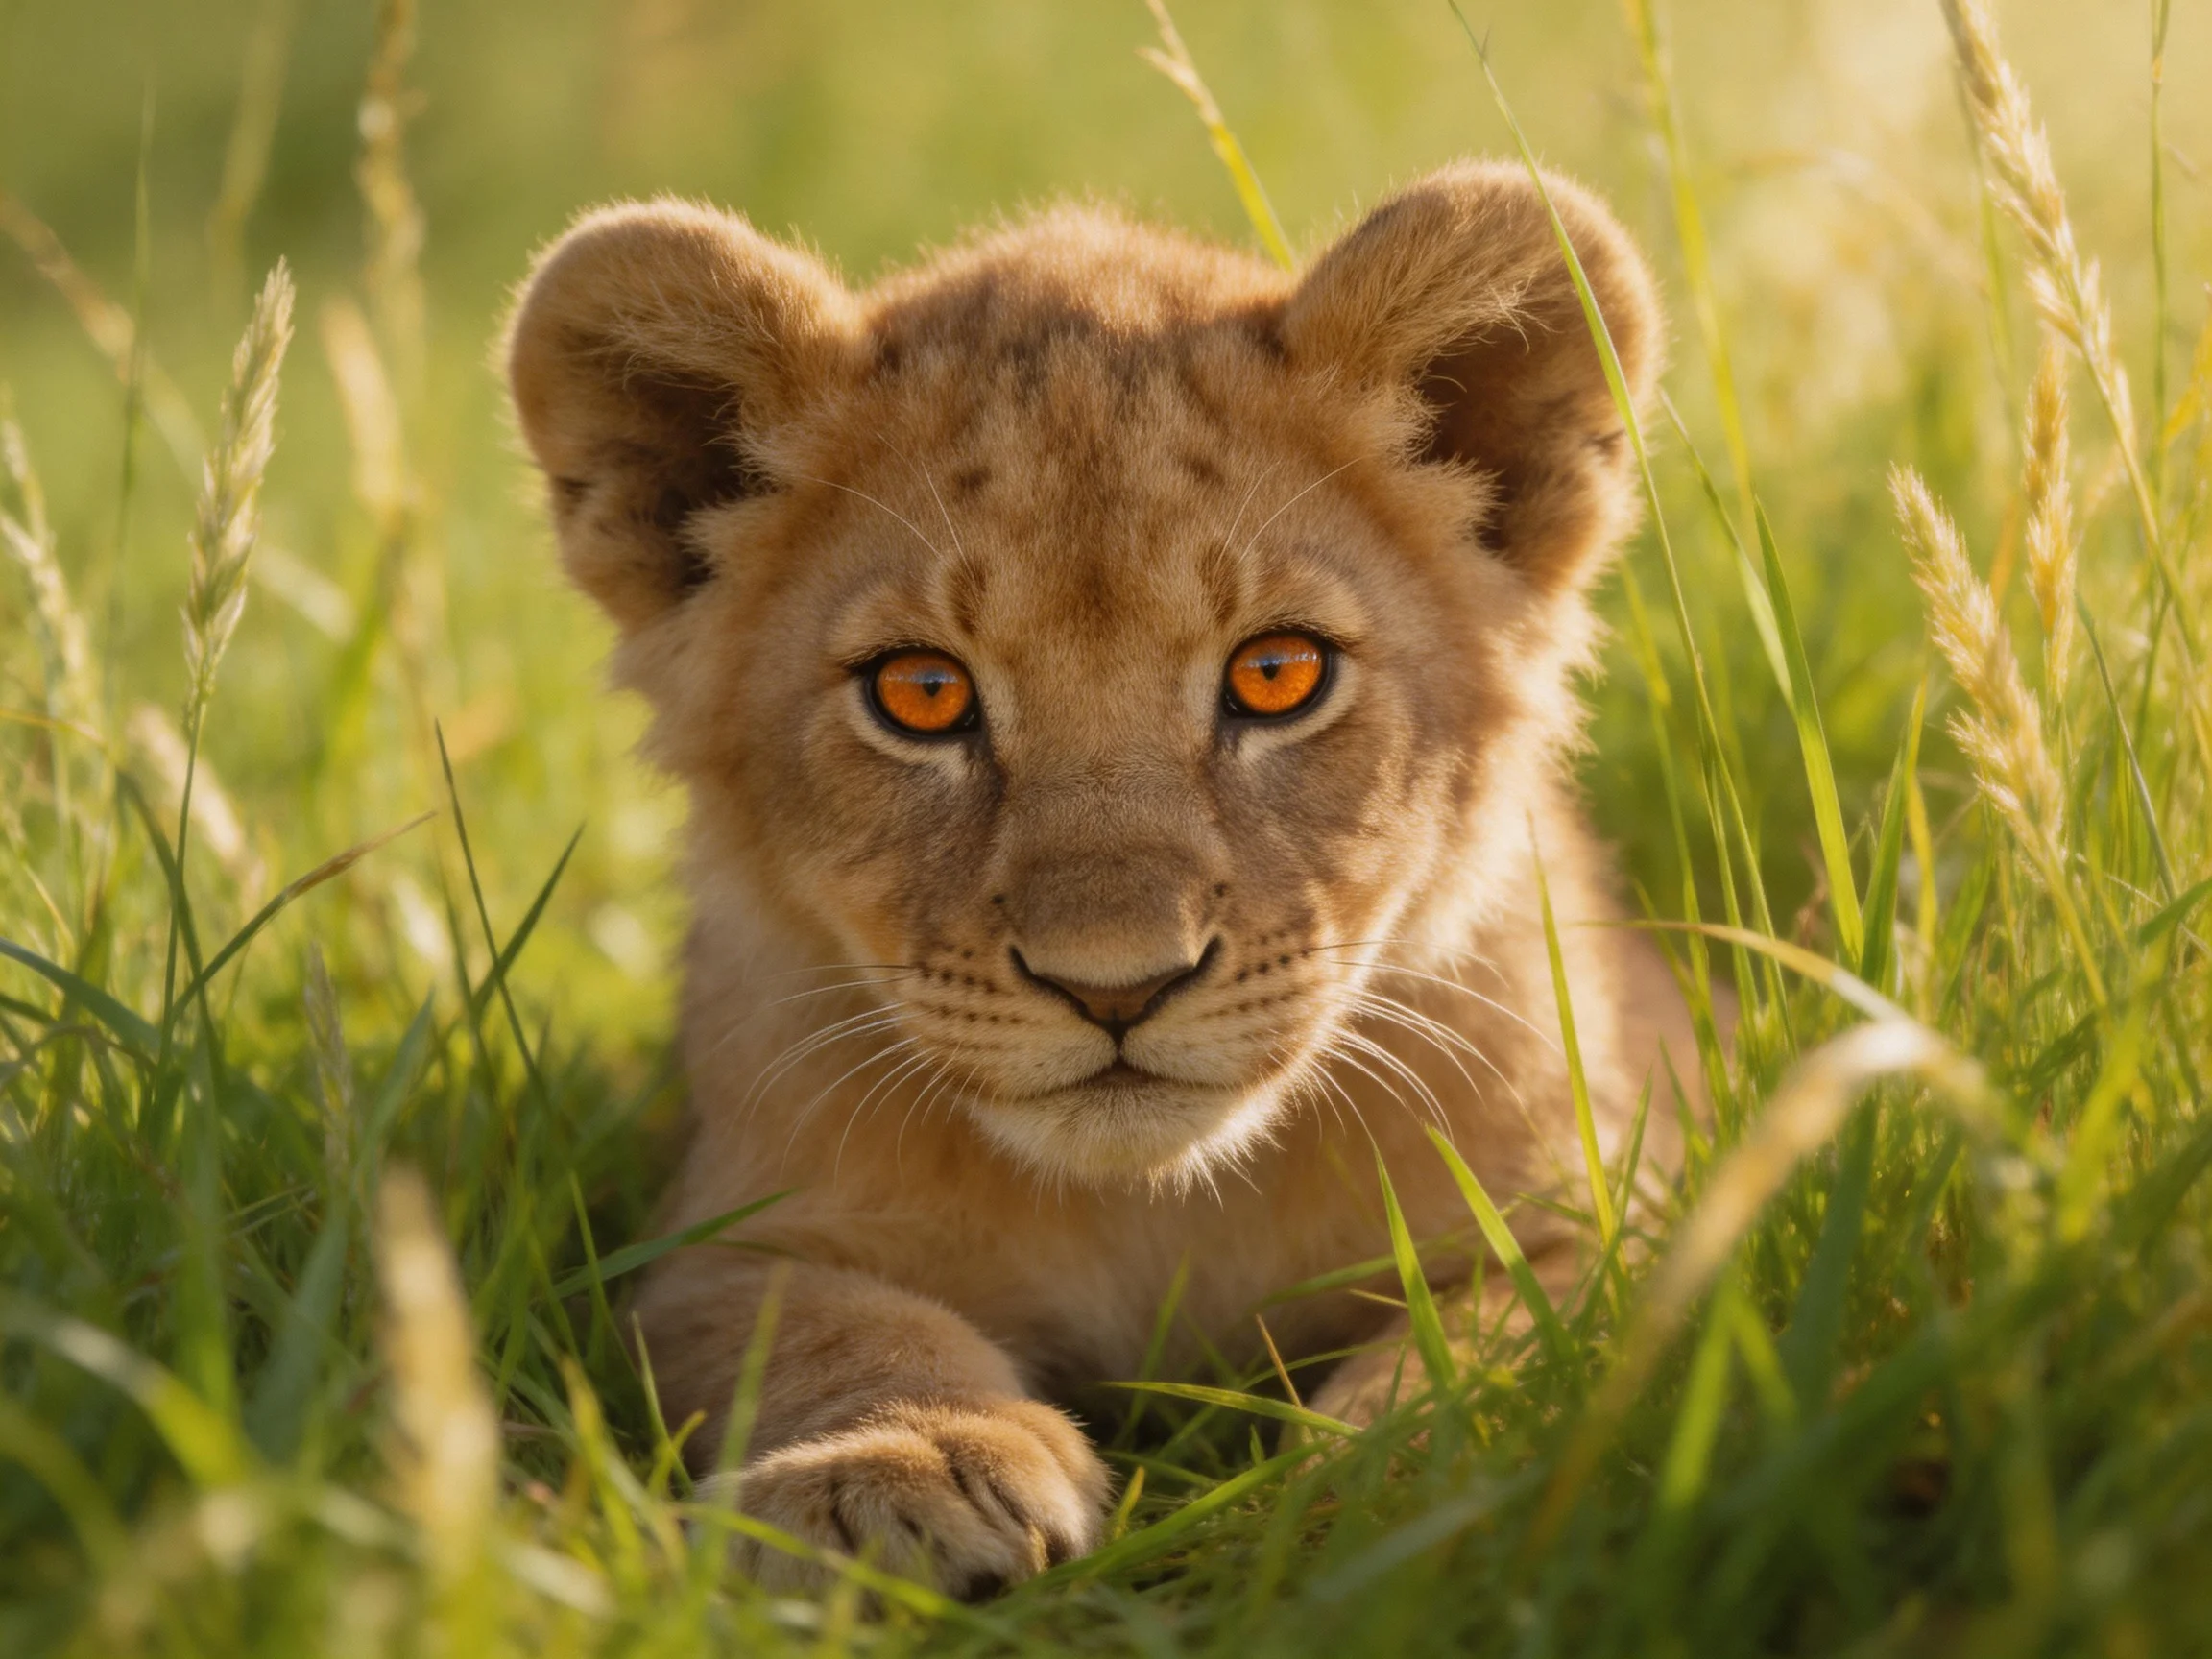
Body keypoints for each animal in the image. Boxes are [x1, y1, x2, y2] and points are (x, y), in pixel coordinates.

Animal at [505, 159, 1699, 1596]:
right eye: (921, 694)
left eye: (1278, 674)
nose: (1117, 989)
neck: (1151, 1215)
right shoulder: (705, 1247)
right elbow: (824, 1327)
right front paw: (899, 1463)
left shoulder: (1625, 1203)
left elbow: (1508, 1341)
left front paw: (1406, 1475)